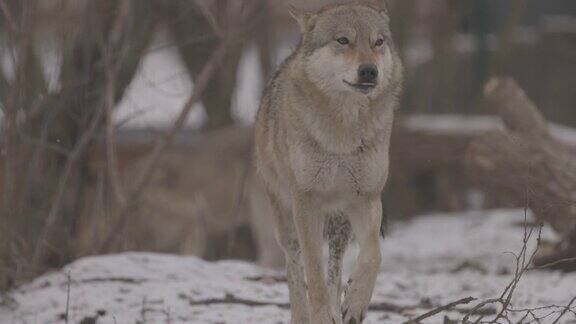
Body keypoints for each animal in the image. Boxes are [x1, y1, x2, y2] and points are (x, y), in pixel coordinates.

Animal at [254, 1, 402, 322]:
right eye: (343, 40)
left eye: (378, 42)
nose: (369, 71)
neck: (342, 134)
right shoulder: (306, 201)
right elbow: (313, 271)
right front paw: (320, 314)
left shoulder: (366, 198)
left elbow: (373, 255)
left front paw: (355, 302)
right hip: (285, 219)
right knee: (294, 267)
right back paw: (302, 314)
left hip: (340, 224)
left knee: (335, 267)